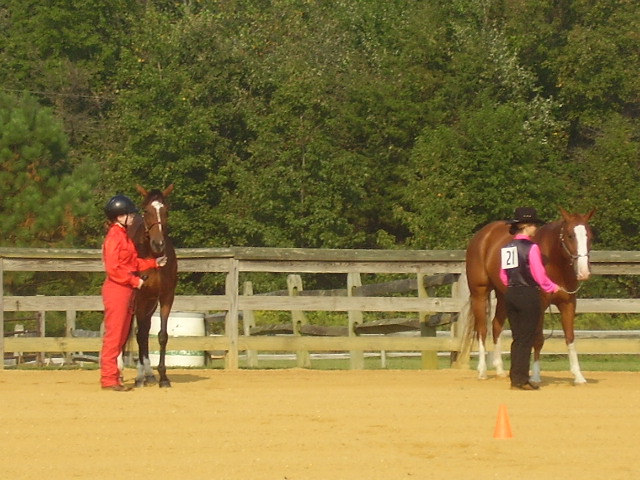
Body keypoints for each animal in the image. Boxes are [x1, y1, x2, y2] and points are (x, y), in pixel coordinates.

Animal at [464, 208, 596, 384]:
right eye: (570, 235)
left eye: (590, 236)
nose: (584, 272)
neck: (553, 262)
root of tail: (482, 235)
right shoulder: (539, 306)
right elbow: (538, 339)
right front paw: (535, 376)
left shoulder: (568, 304)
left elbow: (570, 337)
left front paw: (579, 376)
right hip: (479, 293)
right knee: (482, 330)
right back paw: (482, 371)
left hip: (503, 296)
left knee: (496, 326)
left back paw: (500, 370)